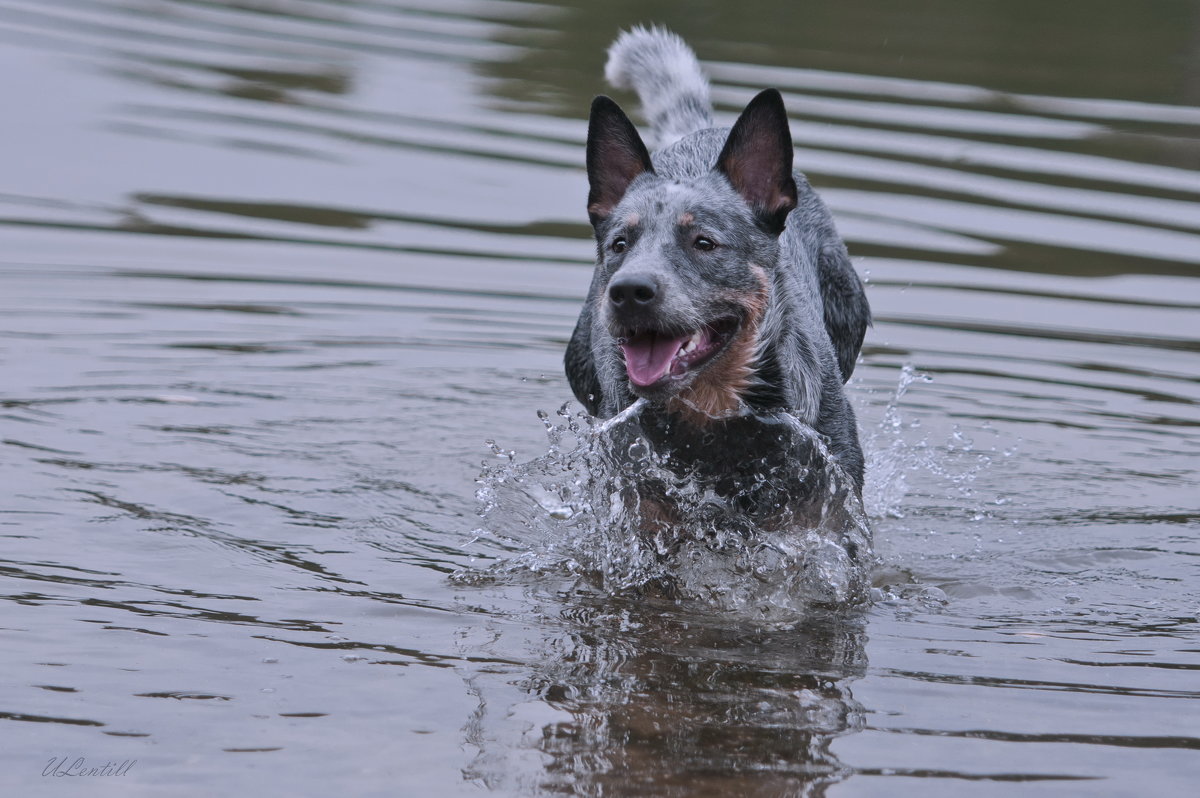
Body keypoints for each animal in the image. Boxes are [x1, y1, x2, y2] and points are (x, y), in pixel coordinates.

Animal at [561, 26, 873, 554]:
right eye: (620, 243)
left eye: (704, 242)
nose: (629, 291)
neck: (714, 419)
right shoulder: (641, 513)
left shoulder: (830, 509)